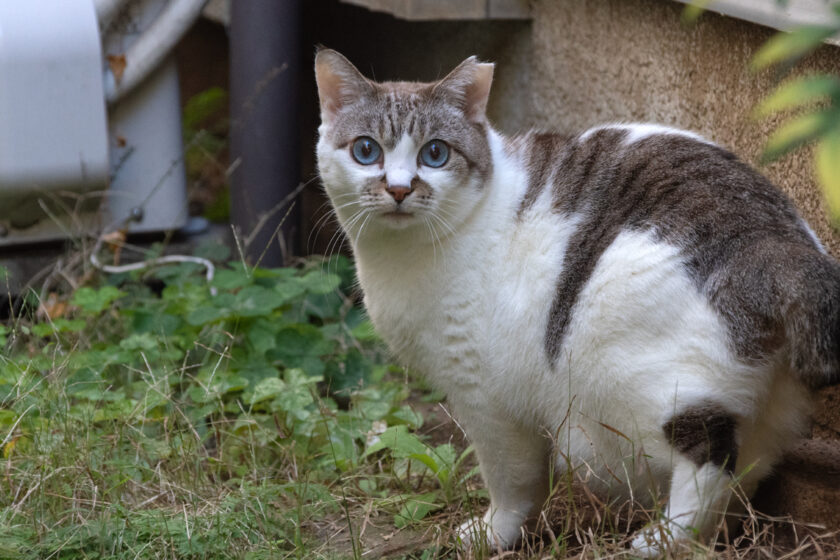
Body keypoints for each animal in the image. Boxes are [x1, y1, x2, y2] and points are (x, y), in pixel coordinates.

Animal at [314, 49, 840, 556]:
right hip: (770, 411)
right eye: (366, 150)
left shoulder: (484, 396)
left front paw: (494, 533)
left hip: (642, 375)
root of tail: (775, 244)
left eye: (435, 154)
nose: (399, 188)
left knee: (710, 459)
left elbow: (511, 478)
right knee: (744, 472)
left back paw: (664, 540)